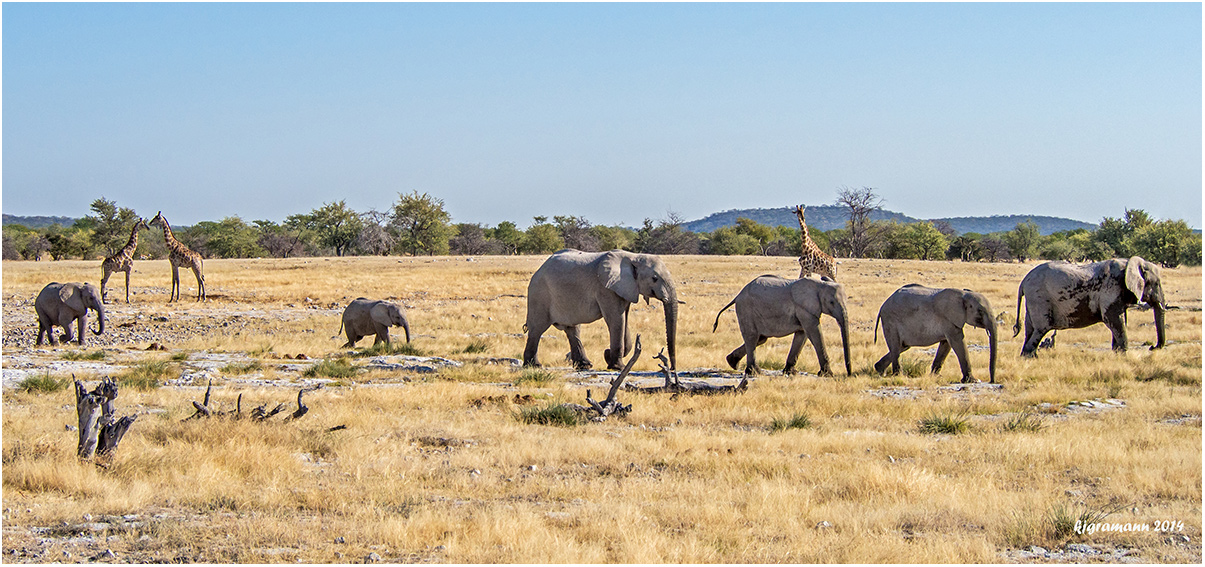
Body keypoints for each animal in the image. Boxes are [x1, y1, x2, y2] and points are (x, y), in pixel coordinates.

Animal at [525, 249, 684, 373]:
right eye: (654, 278)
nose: (671, 368)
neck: (633, 257)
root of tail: (539, 269)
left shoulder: (625, 288)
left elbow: (624, 320)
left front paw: (608, 357)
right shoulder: (606, 288)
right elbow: (616, 319)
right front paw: (618, 367)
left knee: (573, 329)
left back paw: (585, 366)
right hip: (539, 294)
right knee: (537, 329)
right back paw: (534, 366)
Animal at [708, 275, 853, 378]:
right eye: (831, 302)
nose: (849, 374)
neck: (820, 285)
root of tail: (737, 295)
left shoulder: (805, 311)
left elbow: (802, 335)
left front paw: (790, 372)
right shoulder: (804, 309)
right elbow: (814, 333)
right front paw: (827, 374)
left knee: (760, 339)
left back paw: (732, 362)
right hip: (746, 309)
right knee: (752, 338)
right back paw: (755, 372)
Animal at [1012, 256, 1161, 356]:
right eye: (1156, 283)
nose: (1152, 347)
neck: (1129, 262)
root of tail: (1024, 281)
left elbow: (1117, 322)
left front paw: (1117, 354)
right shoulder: (1111, 289)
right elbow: (1113, 320)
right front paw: (1123, 357)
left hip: (1033, 301)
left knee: (1030, 330)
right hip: (1039, 298)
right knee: (1041, 329)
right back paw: (1030, 358)